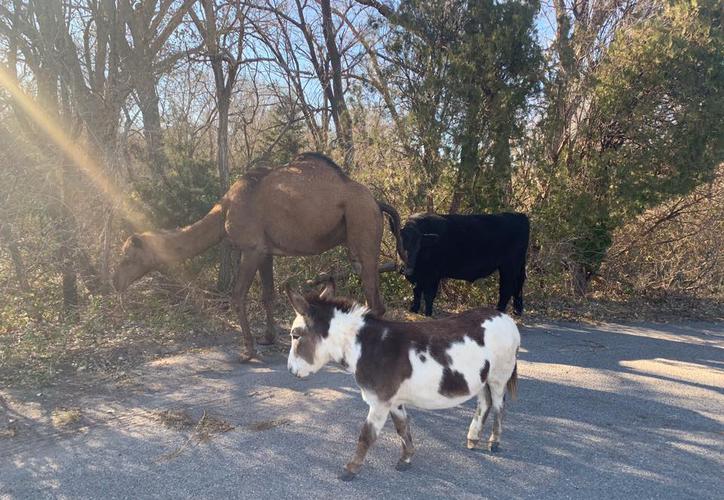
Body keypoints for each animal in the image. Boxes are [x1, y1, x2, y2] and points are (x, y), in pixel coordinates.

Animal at [113, 152, 408, 360]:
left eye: (128, 257)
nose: (114, 282)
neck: (224, 210)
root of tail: (376, 202)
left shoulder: (251, 249)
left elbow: (237, 295)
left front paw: (248, 350)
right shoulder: (266, 252)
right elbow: (268, 294)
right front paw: (268, 338)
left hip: (362, 227)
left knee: (372, 295)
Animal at [398, 212, 528, 316]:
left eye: (418, 246)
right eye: (402, 244)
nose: (407, 268)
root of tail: (520, 215)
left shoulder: (433, 275)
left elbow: (429, 295)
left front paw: (428, 314)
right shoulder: (418, 277)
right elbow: (416, 292)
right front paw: (413, 310)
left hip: (509, 266)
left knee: (507, 288)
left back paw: (499, 311)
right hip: (515, 266)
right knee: (517, 286)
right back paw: (517, 311)